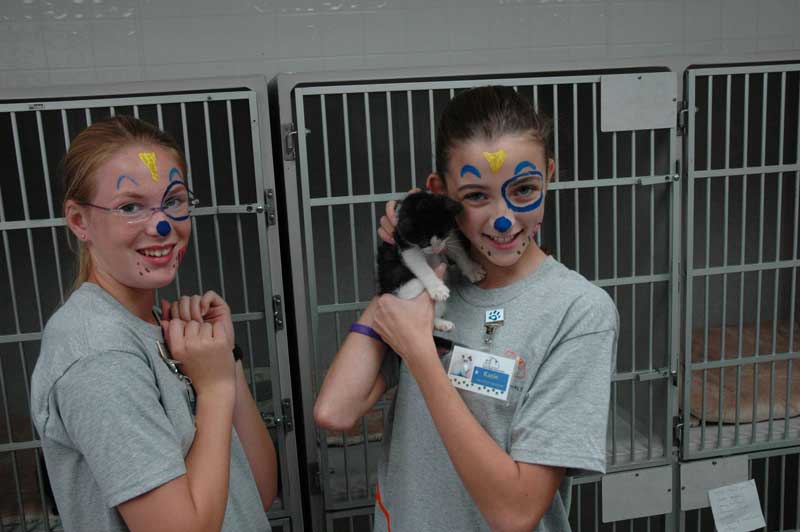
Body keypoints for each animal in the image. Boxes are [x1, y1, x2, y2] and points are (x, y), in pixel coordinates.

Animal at [376, 191, 484, 330]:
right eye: (424, 242)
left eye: (444, 234)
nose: (437, 250)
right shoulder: (405, 244)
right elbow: (422, 267)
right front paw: (437, 288)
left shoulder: (448, 239)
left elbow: (457, 250)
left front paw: (471, 269)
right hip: (407, 288)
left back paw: (442, 323)